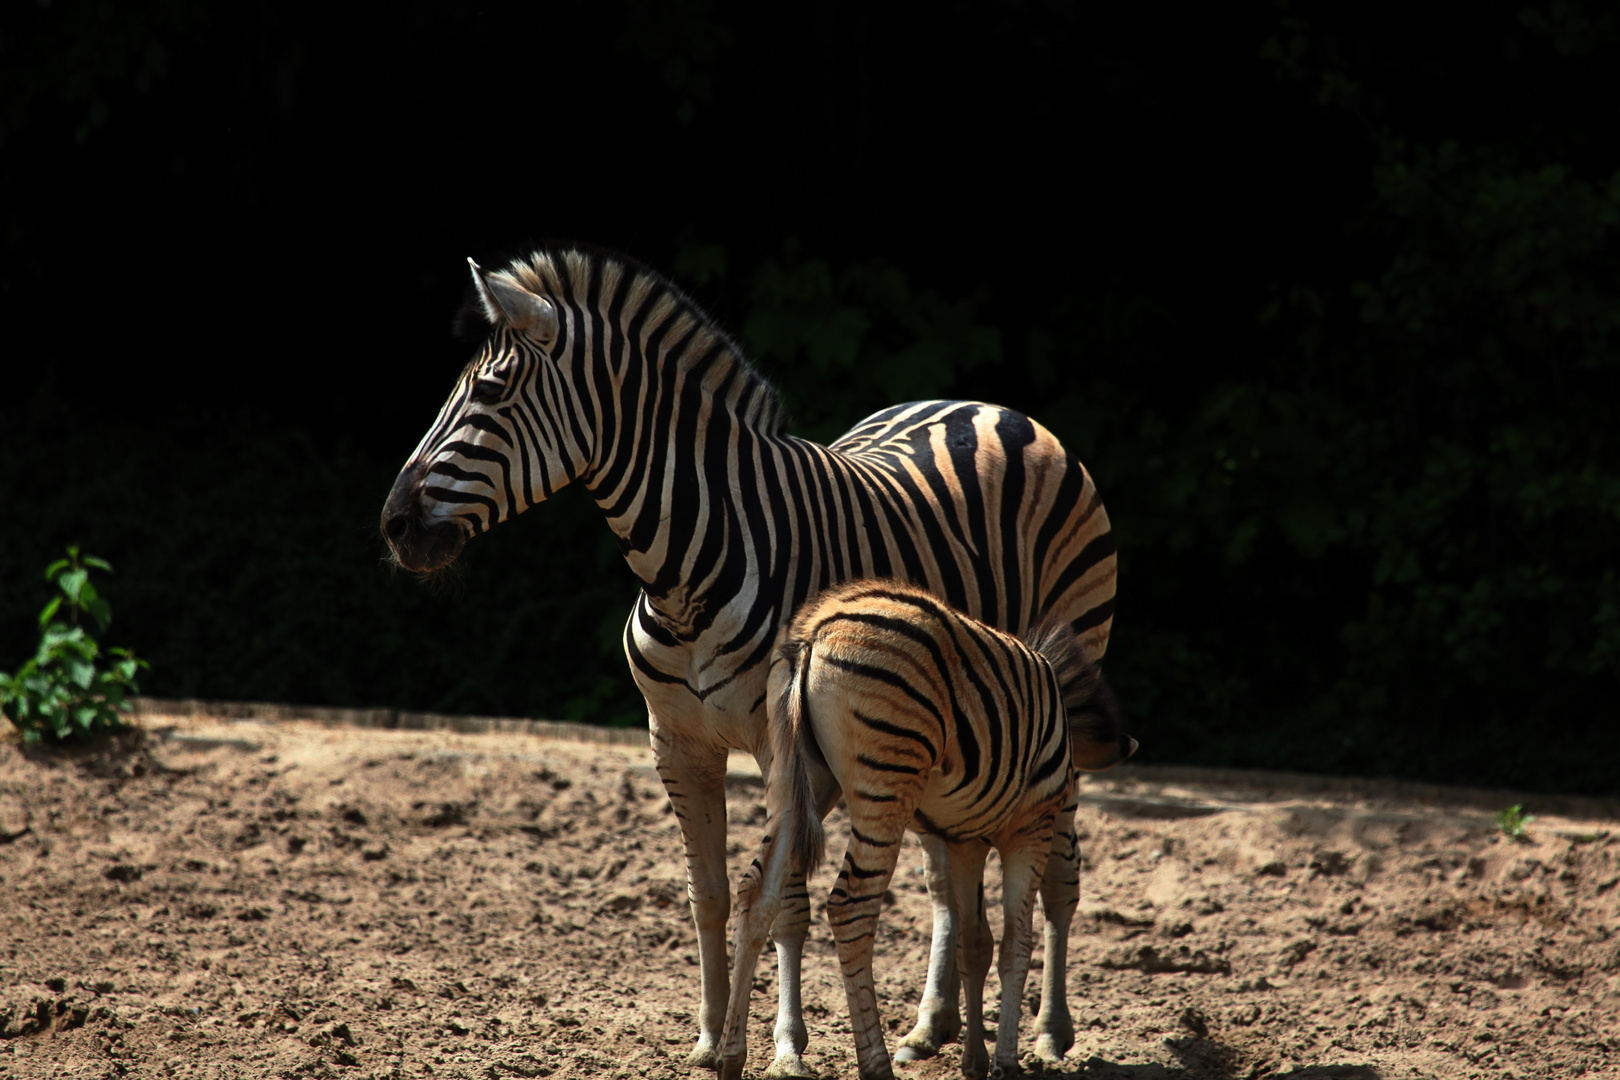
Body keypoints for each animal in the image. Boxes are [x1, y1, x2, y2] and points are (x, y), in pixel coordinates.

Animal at [722, 582, 1140, 1080]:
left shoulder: (964, 841)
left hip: (792, 778)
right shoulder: (1030, 830)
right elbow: (1016, 946)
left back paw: (730, 1056)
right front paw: (1004, 1062)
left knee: (756, 893)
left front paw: (975, 1061)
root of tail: (812, 634)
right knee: (850, 907)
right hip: (885, 783)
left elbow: (975, 945)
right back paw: (876, 1063)